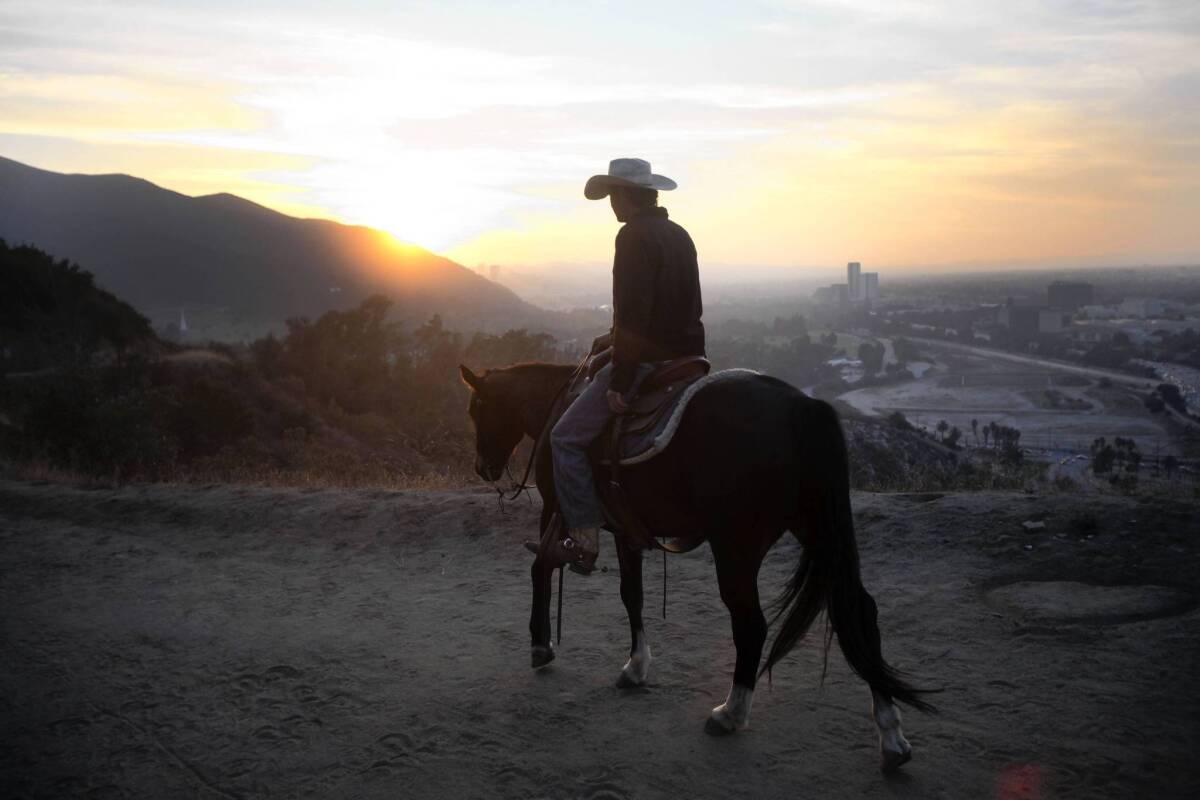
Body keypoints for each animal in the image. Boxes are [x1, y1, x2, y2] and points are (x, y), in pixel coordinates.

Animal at [453, 362, 931, 767]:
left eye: (477, 409)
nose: (482, 468)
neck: (556, 405)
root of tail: (803, 407)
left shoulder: (556, 509)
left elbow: (541, 568)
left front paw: (541, 645)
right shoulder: (626, 530)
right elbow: (632, 595)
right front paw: (636, 667)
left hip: (737, 547)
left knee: (752, 624)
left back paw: (730, 713)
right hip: (816, 529)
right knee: (857, 609)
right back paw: (891, 733)